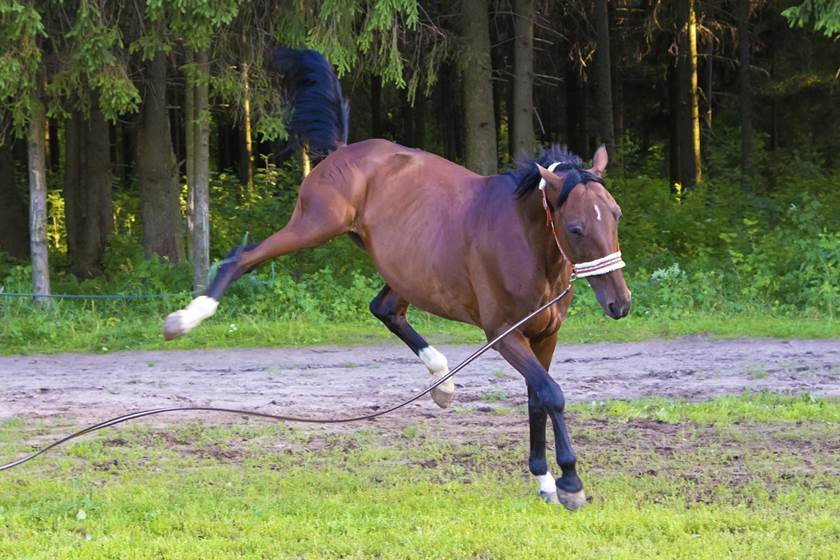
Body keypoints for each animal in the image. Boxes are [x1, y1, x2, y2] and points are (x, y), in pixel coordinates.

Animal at [161, 48, 632, 512]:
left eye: (615, 213)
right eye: (575, 228)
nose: (620, 304)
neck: (525, 242)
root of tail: (341, 151)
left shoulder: (545, 334)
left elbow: (538, 397)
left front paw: (545, 479)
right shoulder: (503, 333)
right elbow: (550, 394)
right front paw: (570, 481)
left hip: (404, 271)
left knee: (384, 309)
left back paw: (443, 380)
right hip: (315, 224)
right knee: (241, 260)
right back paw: (186, 318)